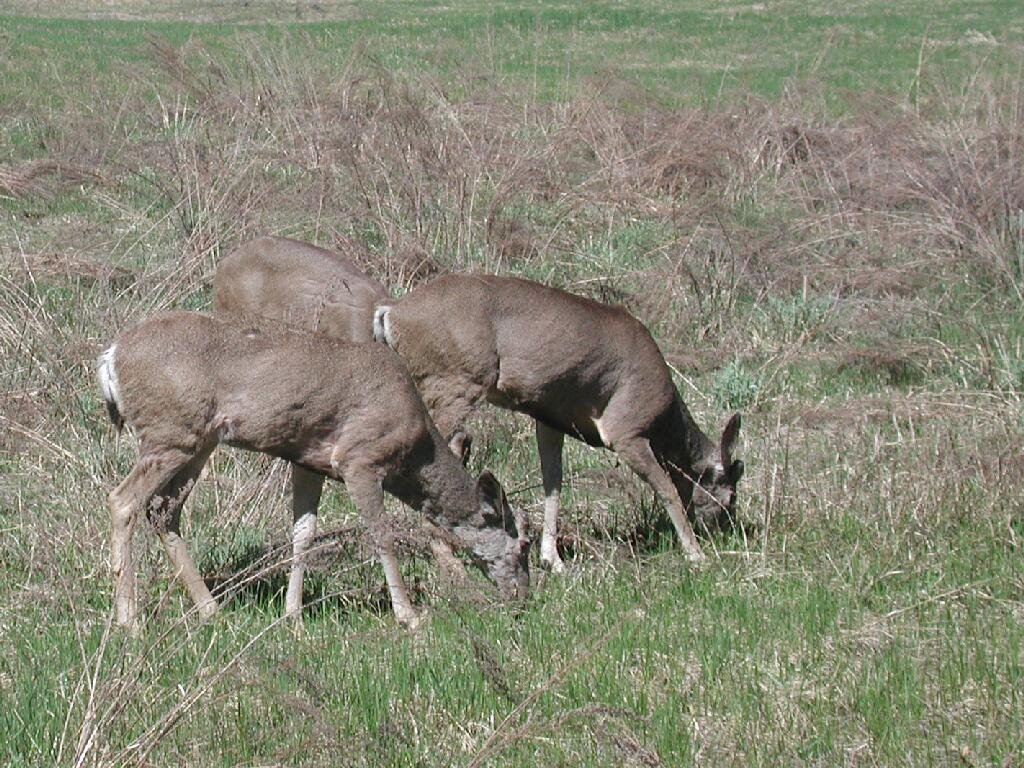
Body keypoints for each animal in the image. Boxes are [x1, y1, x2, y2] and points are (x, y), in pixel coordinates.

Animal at [96, 309, 532, 634]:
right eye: (523, 543)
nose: (524, 596)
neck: (416, 444)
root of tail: (110, 357)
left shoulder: (307, 461)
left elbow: (303, 532)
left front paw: (293, 614)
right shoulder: (359, 458)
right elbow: (381, 535)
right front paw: (408, 615)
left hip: (195, 442)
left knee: (163, 512)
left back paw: (210, 610)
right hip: (169, 432)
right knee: (123, 501)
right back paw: (129, 621)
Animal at [372, 274, 741, 573]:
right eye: (731, 494)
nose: (726, 529)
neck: (664, 417)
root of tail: (392, 312)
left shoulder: (549, 419)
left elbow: (553, 481)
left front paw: (553, 559)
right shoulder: (626, 427)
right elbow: (666, 487)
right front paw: (696, 555)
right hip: (455, 381)